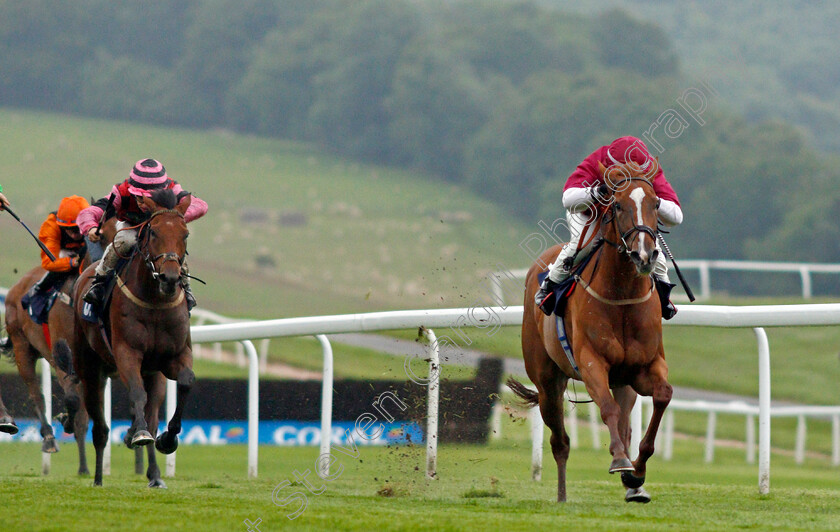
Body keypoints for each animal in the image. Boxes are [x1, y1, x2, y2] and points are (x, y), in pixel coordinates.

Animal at [61, 189, 194, 488]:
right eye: (153, 232)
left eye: (185, 234)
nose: (170, 277)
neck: (155, 300)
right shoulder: (126, 353)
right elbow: (135, 392)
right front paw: (140, 434)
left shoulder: (174, 355)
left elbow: (186, 381)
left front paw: (167, 438)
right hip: (90, 368)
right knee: (99, 426)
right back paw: (98, 477)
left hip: (152, 373)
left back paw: (154, 473)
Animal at [508, 161, 672, 502]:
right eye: (618, 205)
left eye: (656, 204)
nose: (644, 255)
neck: (621, 296)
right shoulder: (591, 361)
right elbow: (607, 408)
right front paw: (621, 460)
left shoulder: (645, 366)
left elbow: (662, 396)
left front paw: (637, 472)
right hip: (547, 382)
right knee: (560, 441)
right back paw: (562, 496)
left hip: (624, 384)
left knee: (625, 421)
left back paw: (633, 487)